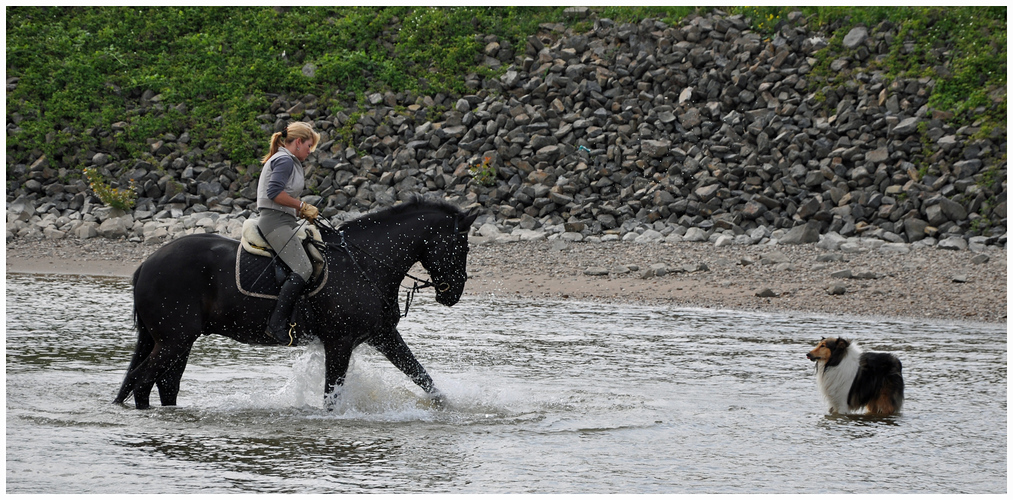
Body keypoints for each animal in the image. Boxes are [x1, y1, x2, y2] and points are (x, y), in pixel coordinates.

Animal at [114, 197, 478, 408]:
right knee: (143, 382)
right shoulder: (339, 342)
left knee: (162, 385)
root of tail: (146, 265)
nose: (453, 293)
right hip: (174, 340)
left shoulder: (382, 335)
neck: (363, 263)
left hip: (176, 342)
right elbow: (332, 397)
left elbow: (424, 379)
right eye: (461, 246)